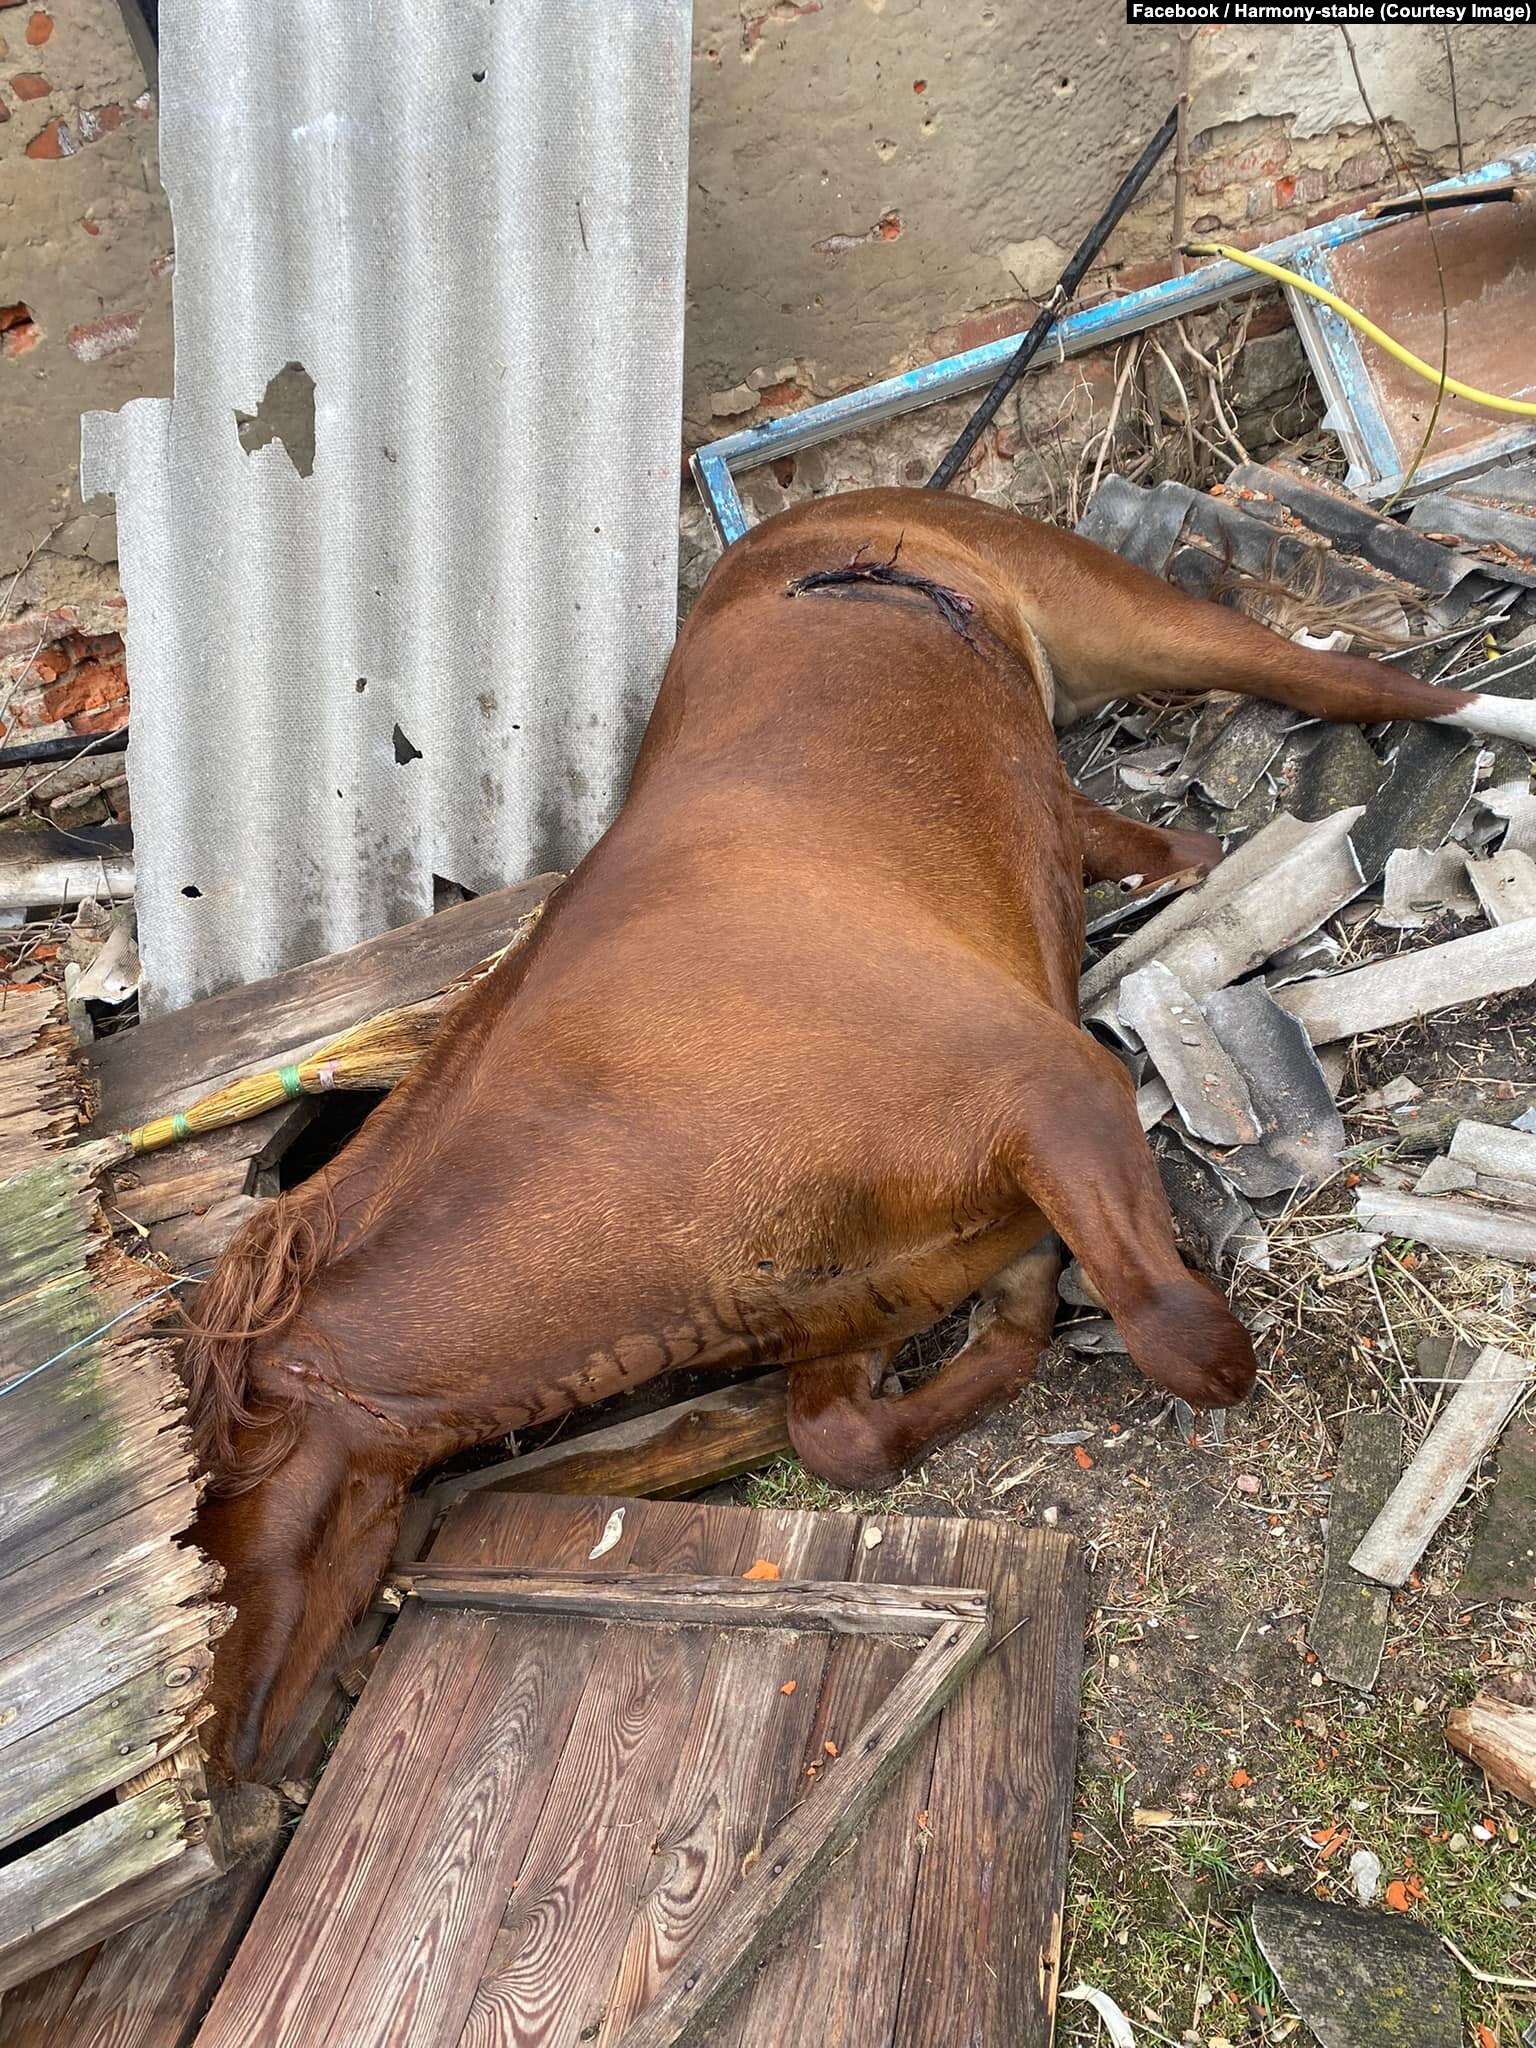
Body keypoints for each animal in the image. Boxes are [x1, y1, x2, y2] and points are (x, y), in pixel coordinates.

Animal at [186, 487, 1531, 1769]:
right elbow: (847, 1435)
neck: (650, 1108)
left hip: (1145, 623)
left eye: (218, 1507)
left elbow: (1182, 1341)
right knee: (1129, 829)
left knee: (1379, 687)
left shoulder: (1062, 1096)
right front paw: (998, 1341)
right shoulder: (866, 1300)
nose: (229, 1752)